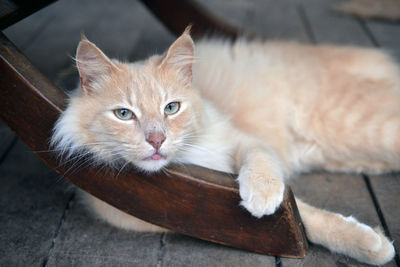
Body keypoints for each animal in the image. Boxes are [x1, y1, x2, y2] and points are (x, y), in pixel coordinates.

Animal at [52, 27, 396, 266]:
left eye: (171, 108)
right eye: (124, 114)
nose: (157, 139)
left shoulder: (245, 142)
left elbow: (267, 173)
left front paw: (262, 196)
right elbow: (303, 218)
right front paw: (371, 244)